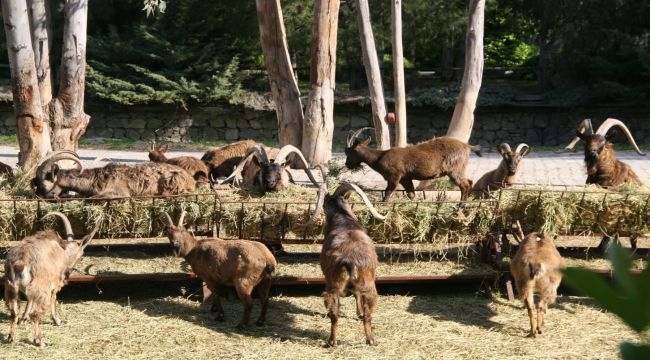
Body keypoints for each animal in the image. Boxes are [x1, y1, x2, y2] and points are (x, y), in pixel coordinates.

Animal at [4, 211, 101, 346]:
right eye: (81, 255)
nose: (69, 272)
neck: (62, 251)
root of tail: (20, 262)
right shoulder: (53, 283)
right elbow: (53, 299)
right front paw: (57, 321)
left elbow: (29, 301)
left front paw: (23, 319)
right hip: (40, 286)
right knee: (35, 313)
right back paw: (40, 341)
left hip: (11, 287)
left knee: (14, 312)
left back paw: (11, 337)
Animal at [308, 181, 384, 348]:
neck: (344, 222)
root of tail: (349, 260)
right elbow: (357, 294)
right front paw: (359, 313)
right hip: (368, 284)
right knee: (367, 313)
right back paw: (371, 340)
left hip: (333, 284)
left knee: (334, 312)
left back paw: (332, 341)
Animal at [344, 129, 480, 202]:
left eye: (349, 152)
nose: (347, 164)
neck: (379, 157)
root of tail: (467, 146)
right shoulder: (406, 179)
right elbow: (411, 195)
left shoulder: (394, 176)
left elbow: (387, 193)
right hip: (460, 168)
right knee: (470, 181)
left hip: (454, 169)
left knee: (464, 185)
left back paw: (461, 205)